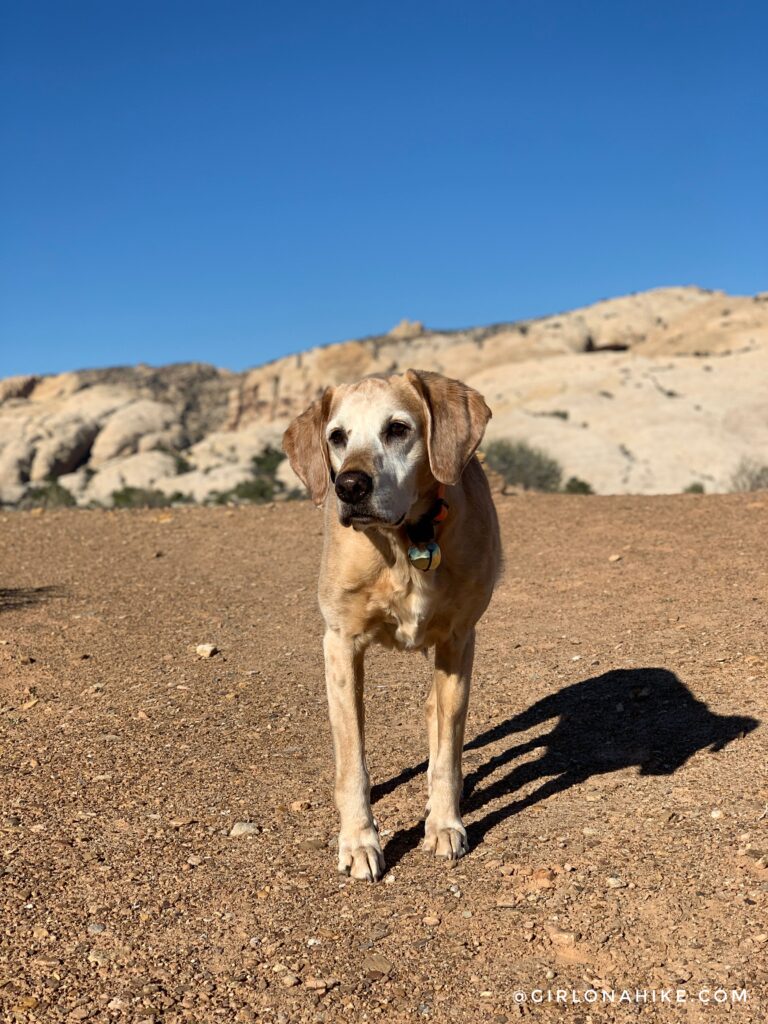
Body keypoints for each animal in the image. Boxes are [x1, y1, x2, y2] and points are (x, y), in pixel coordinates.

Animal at [286, 370, 501, 880]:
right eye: (336, 437)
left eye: (398, 429)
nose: (349, 486)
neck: (405, 543)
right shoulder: (340, 645)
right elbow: (352, 761)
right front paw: (359, 841)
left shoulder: (459, 642)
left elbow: (448, 752)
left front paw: (444, 823)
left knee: (438, 720)